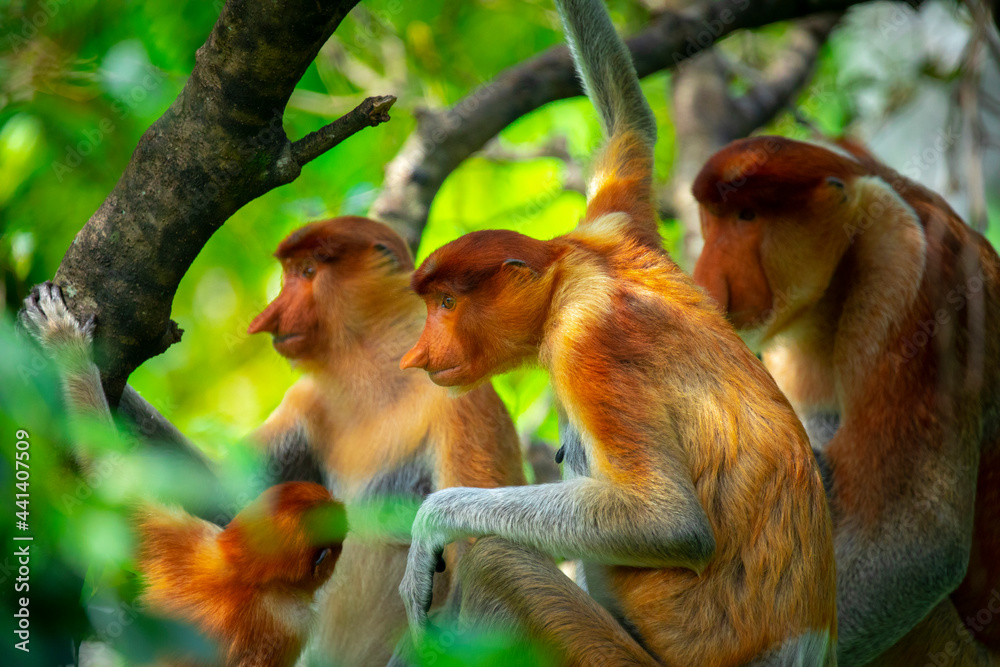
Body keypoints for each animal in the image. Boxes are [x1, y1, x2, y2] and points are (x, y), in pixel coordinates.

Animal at [19, 282, 347, 667]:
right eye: (334, 549)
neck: (245, 573)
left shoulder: (192, 537)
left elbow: (109, 474)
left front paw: (63, 342)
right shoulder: (292, 623)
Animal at [391, 0, 837, 664]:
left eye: (446, 302)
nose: (419, 354)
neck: (569, 274)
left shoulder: (587, 337)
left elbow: (669, 522)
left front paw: (431, 528)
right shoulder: (615, 224)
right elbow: (629, 126)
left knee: (499, 559)